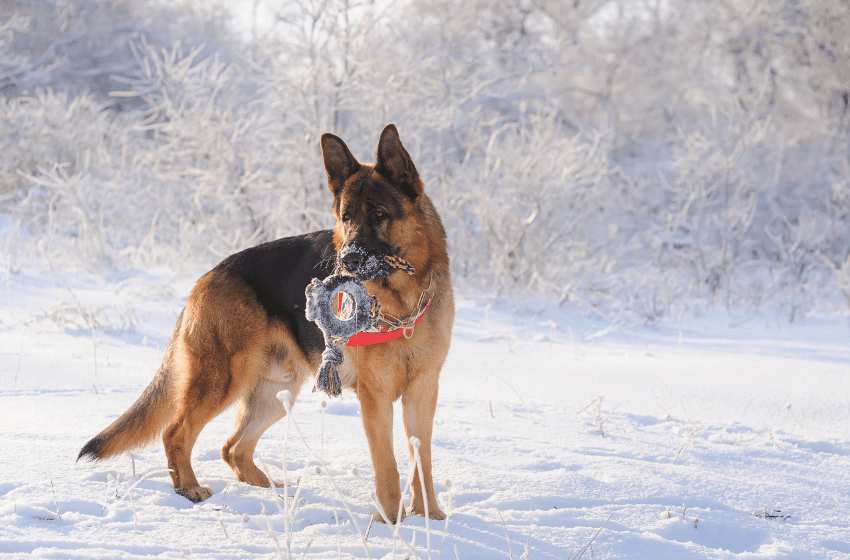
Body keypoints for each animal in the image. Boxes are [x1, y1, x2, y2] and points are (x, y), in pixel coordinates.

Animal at [78, 124, 450, 524]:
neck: (402, 305)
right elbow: (387, 466)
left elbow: (422, 460)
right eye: (346, 217)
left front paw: (430, 517)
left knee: (232, 448)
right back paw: (189, 488)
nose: (346, 260)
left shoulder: (423, 392)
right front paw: (390, 523)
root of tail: (207, 277)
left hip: (276, 390)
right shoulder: (375, 397)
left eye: (379, 215)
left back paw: (269, 489)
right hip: (222, 380)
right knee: (176, 433)